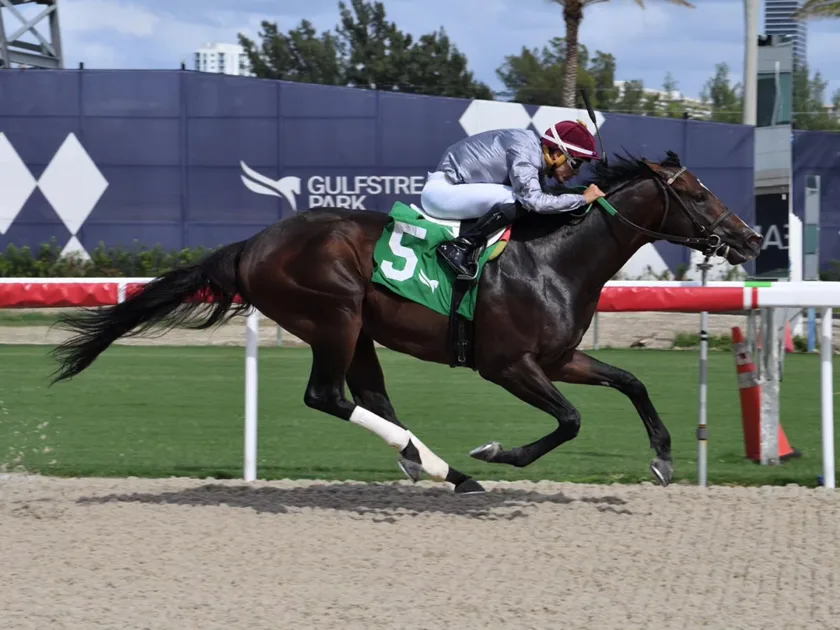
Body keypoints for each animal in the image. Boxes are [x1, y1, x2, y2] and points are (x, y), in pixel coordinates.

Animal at [49, 150, 762, 495]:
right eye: (696, 193)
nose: (752, 238)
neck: (553, 260)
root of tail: (252, 245)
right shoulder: (508, 365)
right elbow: (571, 420)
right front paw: (499, 452)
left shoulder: (559, 359)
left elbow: (631, 381)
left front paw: (664, 457)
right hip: (333, 314)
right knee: (328, 395)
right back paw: (446, 467)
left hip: (359, 329)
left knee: (371, 396)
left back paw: (433, 465)